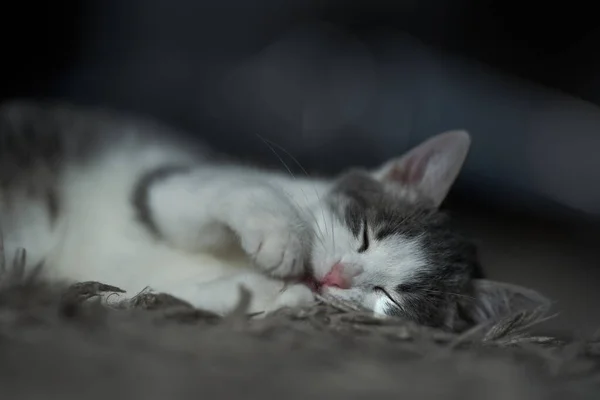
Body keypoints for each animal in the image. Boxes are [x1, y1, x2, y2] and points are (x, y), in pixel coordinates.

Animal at [0, 101, 548, 332]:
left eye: (388, 297)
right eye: (364, 233)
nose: (335, 276)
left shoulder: (131, 283)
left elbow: (152, 297)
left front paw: (273, 298)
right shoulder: (166, 185)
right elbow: (235, 190)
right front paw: (282, 239)